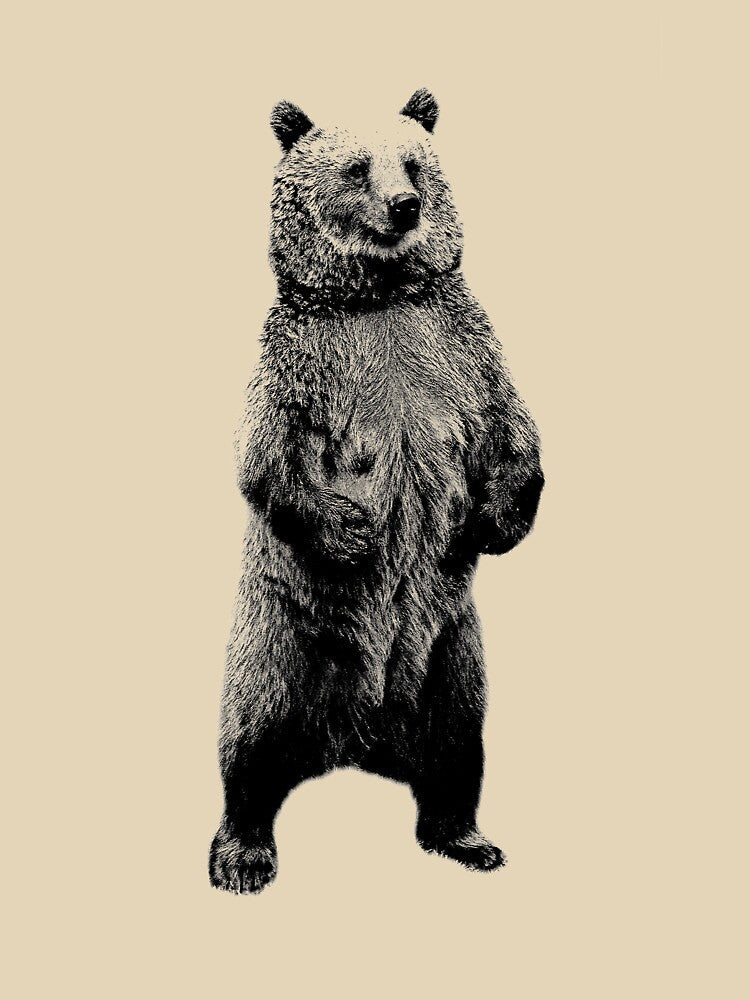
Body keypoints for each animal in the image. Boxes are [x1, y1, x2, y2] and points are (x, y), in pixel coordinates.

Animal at [209, 89, 544, 894]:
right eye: (357, 167)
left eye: (414, 163)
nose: (405, 205)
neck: (379, 296)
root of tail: (355, 740)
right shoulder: (302, 361)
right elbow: (265, 459)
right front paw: (353, 529)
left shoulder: (460, 348)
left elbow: (513, 432)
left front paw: (492, 520)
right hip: (281, 639)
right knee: (250, 743)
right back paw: (242, 854)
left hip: (451, 656)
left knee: (458, 749)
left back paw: (467, 838)